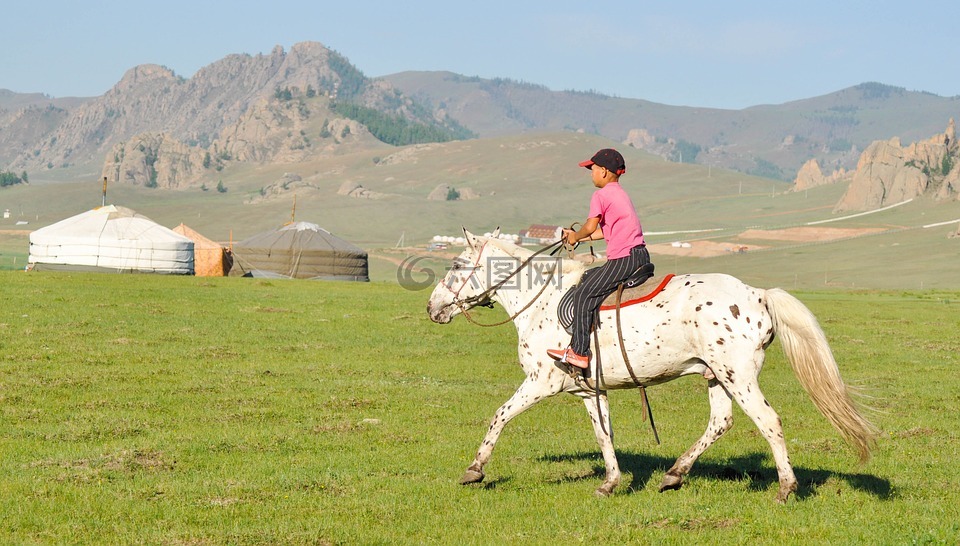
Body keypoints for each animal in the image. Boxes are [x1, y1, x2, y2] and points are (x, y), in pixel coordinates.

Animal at [426, 229, 876, 503]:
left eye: (456, 266)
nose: (432, 308)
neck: (540, 302)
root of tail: (758, 295)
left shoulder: (540, 382)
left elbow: (499, 416)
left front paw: (474, 470)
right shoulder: (588, 389)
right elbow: (604, 435)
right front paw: (610, 483)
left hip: (738, 376)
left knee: (768, 420)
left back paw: (785, 488)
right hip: (716, 376)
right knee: (721, 422)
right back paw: (674, 474)